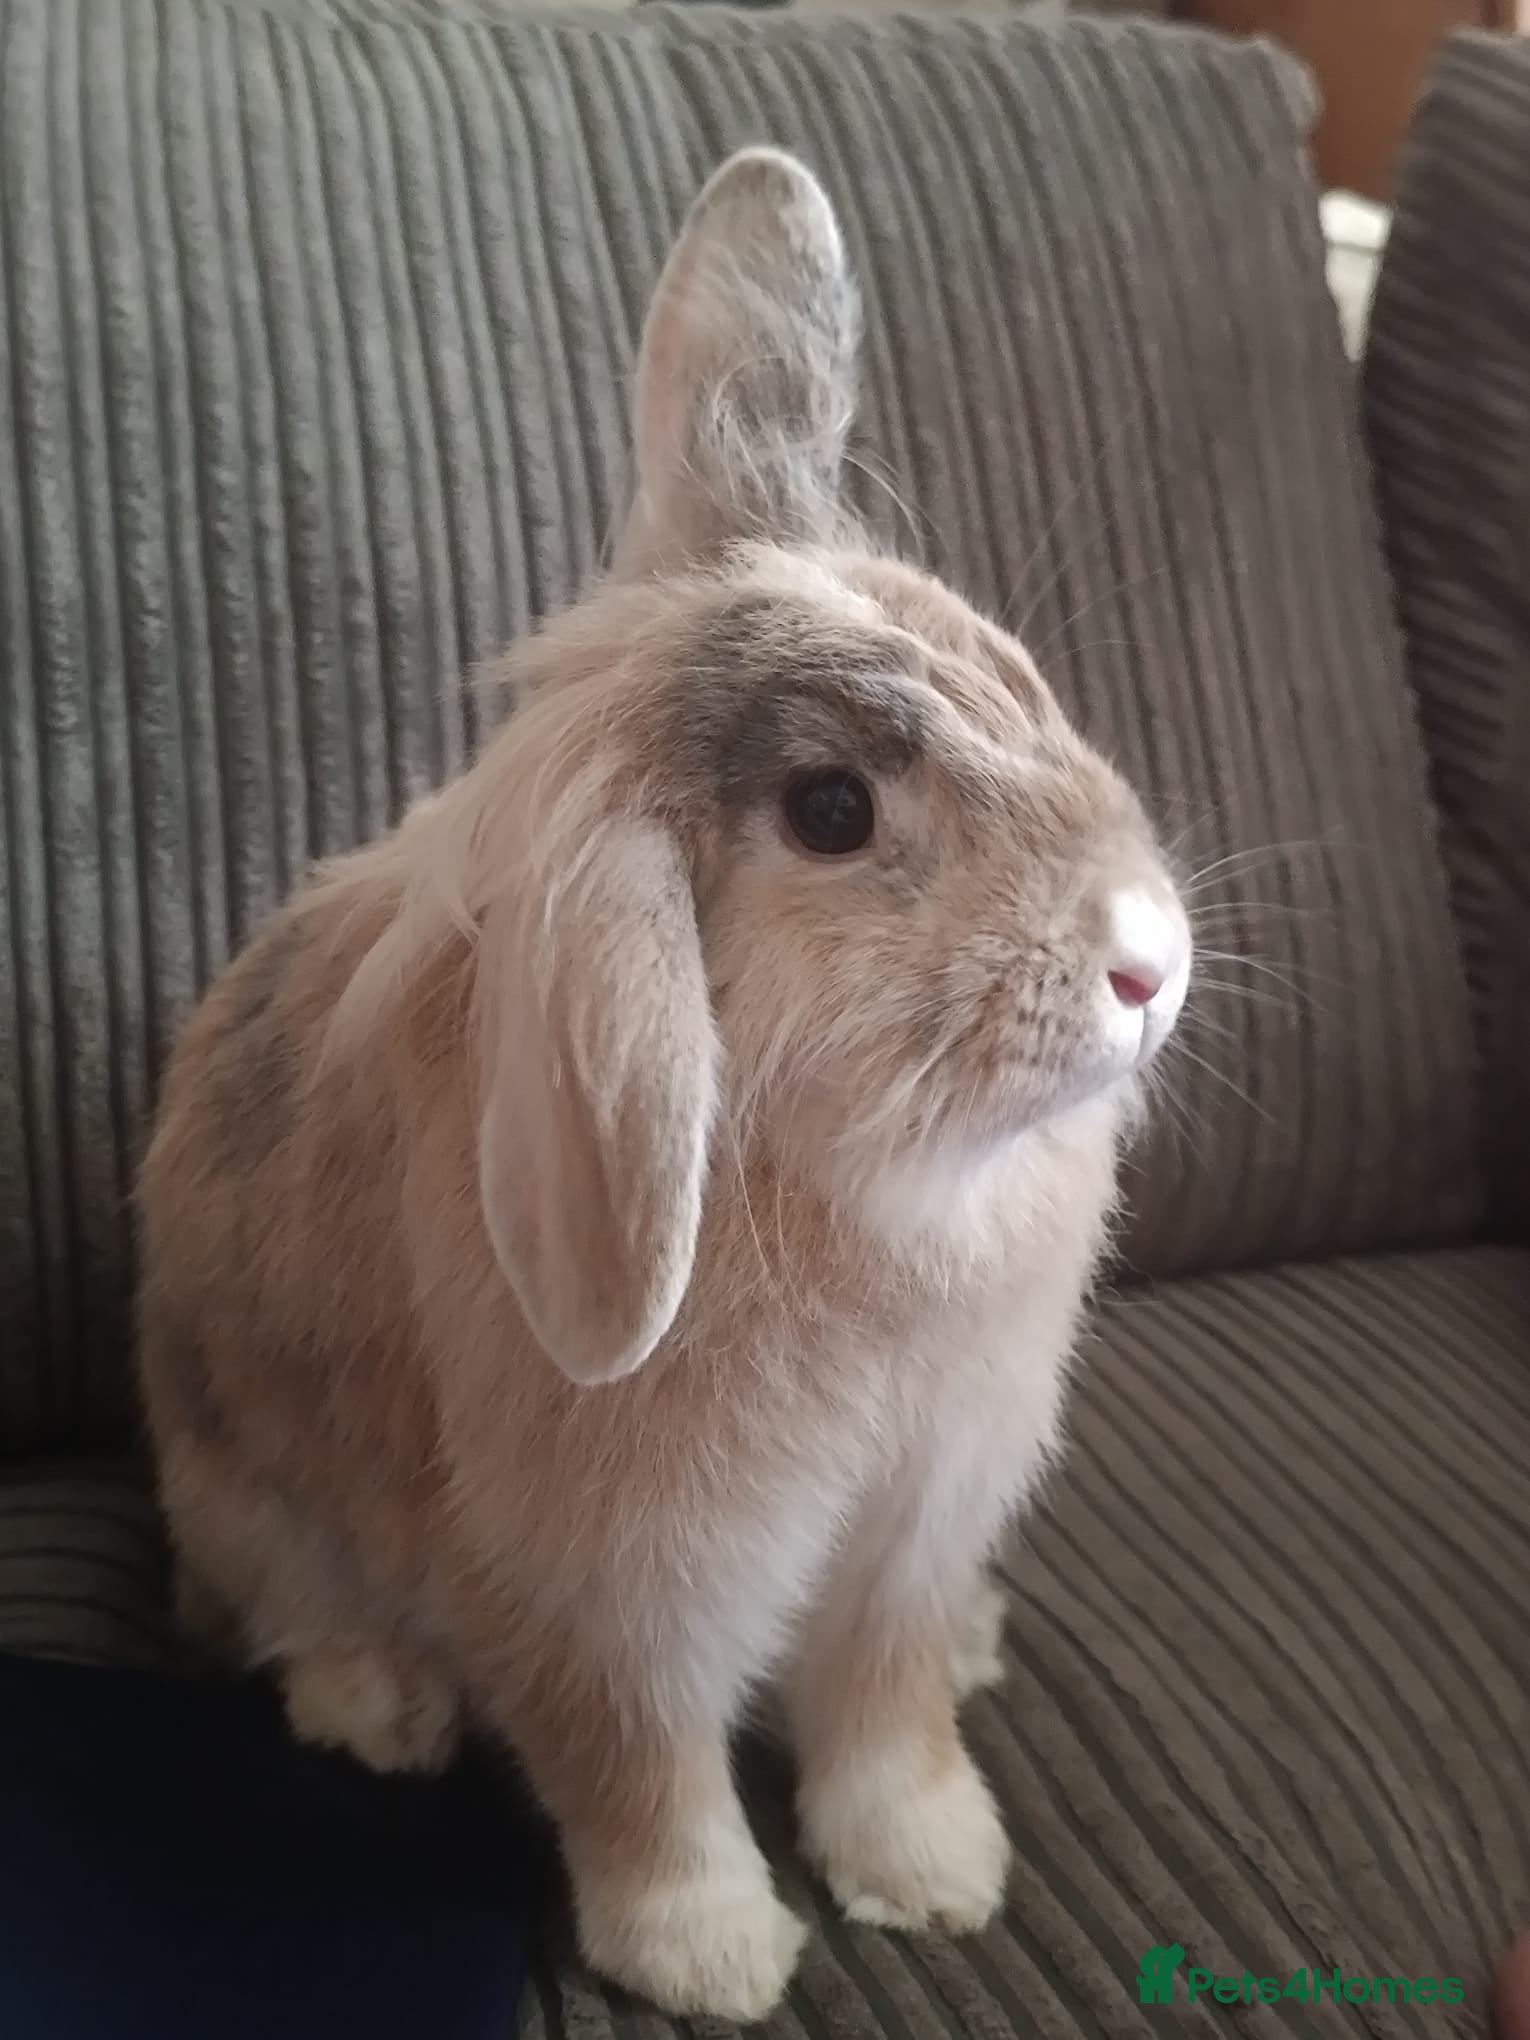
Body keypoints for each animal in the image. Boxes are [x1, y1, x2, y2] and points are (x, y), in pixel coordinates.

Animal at [136, 147, 1191, 2024]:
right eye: (832, 812)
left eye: (1022, 680)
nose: (1144, 960)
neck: (874, 1195)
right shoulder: (612, 1593)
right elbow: (641, 1778)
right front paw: (714, 1962)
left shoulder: (915, 1530)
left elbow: (886, 1720)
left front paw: (939, 1880)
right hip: (237, 1487)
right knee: (295, 1610)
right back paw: (380, 1710)